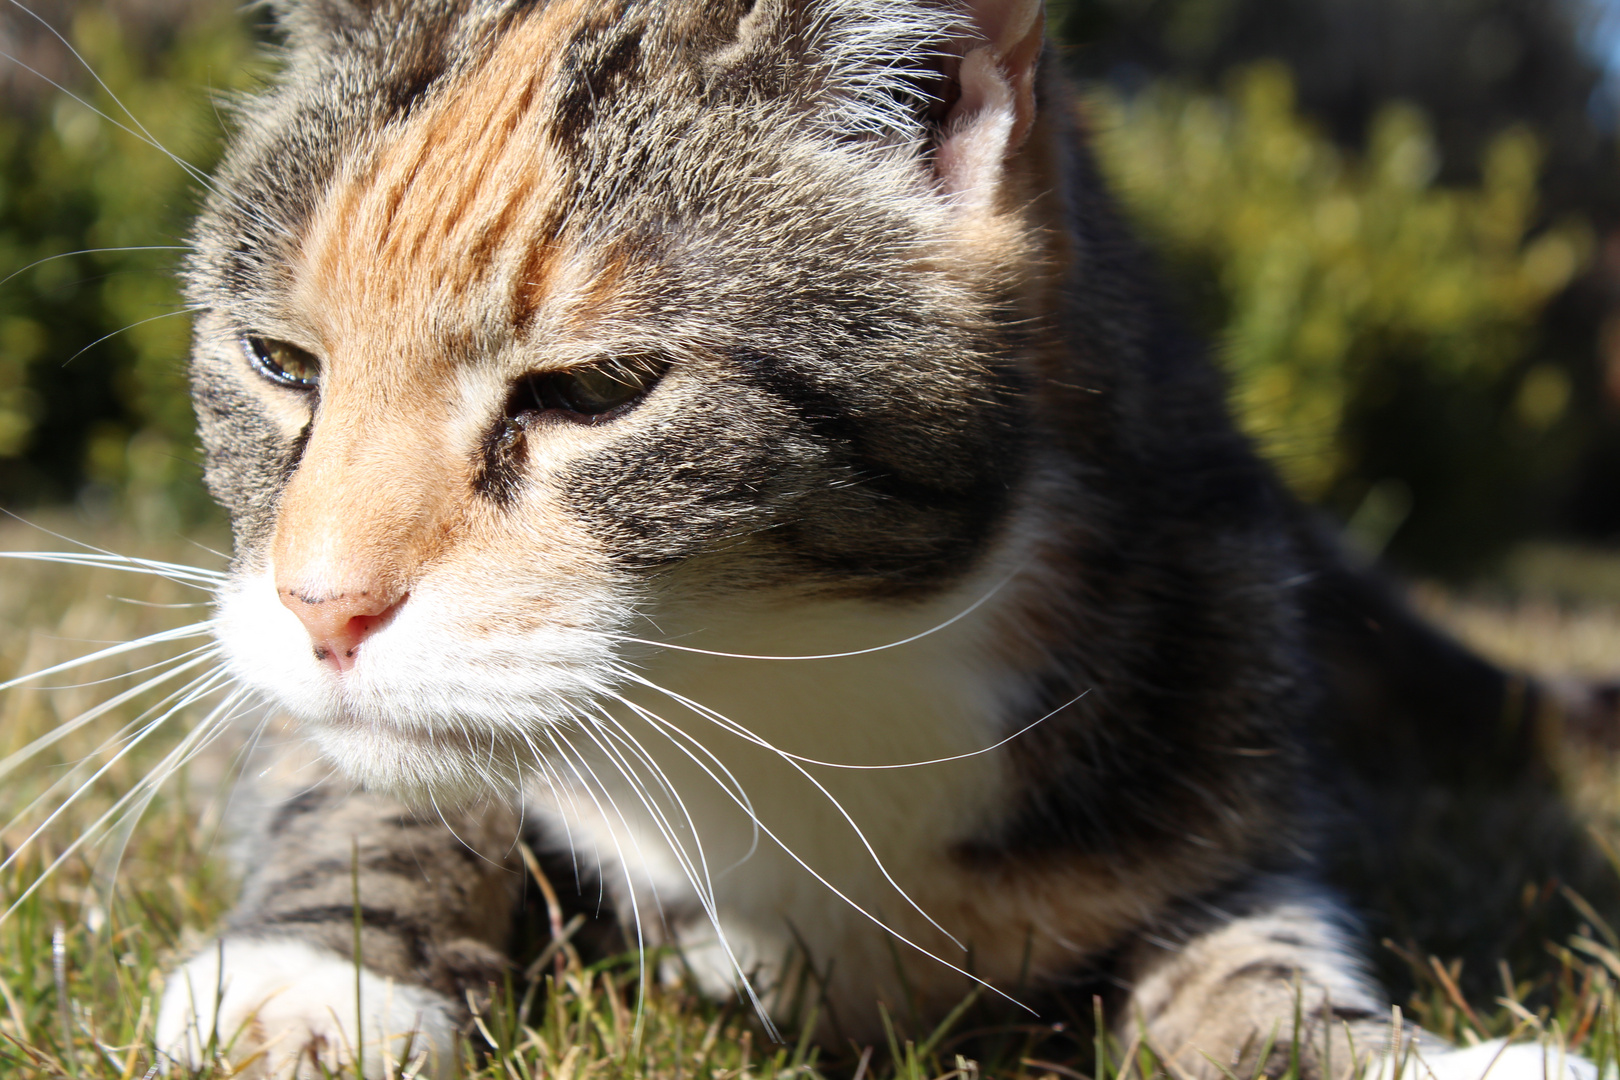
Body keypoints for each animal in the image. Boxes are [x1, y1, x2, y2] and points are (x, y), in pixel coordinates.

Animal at [110, 0, 1594, 1075]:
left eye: (595, 391)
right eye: (278, 362)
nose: (322, 605)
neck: (798, 669)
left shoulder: (1209, 654)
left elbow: (1255, 946)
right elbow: (366, 769)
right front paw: (321, 978)